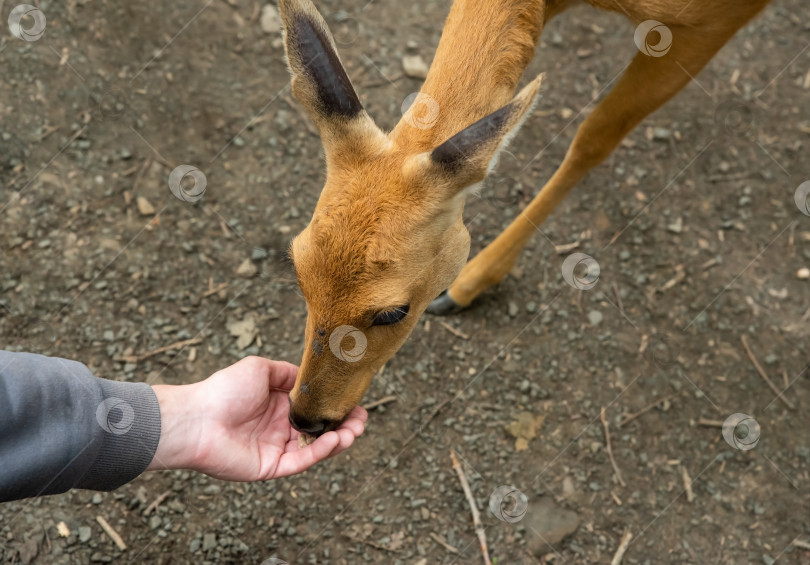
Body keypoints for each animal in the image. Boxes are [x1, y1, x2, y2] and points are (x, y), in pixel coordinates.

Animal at [278, 0, 772, 436]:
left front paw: (467, 285)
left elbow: (596, 135)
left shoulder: (713, 22)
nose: (306, 418)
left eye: (393, 311)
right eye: (297, 268)